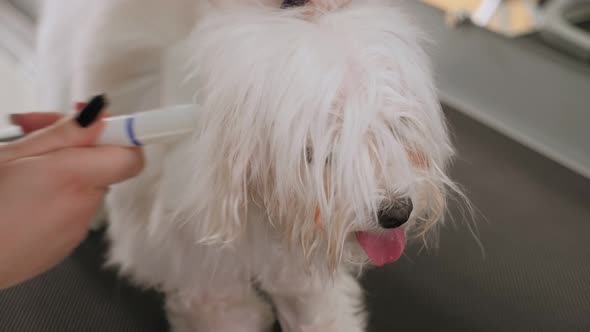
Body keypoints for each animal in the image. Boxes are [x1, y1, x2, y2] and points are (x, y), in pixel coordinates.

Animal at [37, 1, 464, 330]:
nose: (397, 213)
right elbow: (218, 304)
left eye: (397, 127)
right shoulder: (187, 246)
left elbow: (316, 299)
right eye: (316, 152)